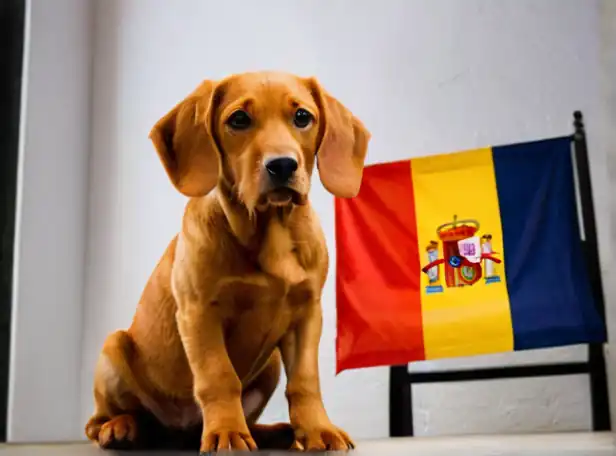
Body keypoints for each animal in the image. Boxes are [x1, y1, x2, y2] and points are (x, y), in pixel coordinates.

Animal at [83, 70, 368, 452]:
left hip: (271, 363)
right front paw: (227, 433)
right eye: (239, 120)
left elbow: (305, 381)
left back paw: (276, 431)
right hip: (113, 348)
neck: (270, 232)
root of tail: (178, 432)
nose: (282, 165)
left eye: (302, 117)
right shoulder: (199, 312)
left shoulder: (308, 312)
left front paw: (317, 429)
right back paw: (121, 427)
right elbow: (219, 377)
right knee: (99, 421)